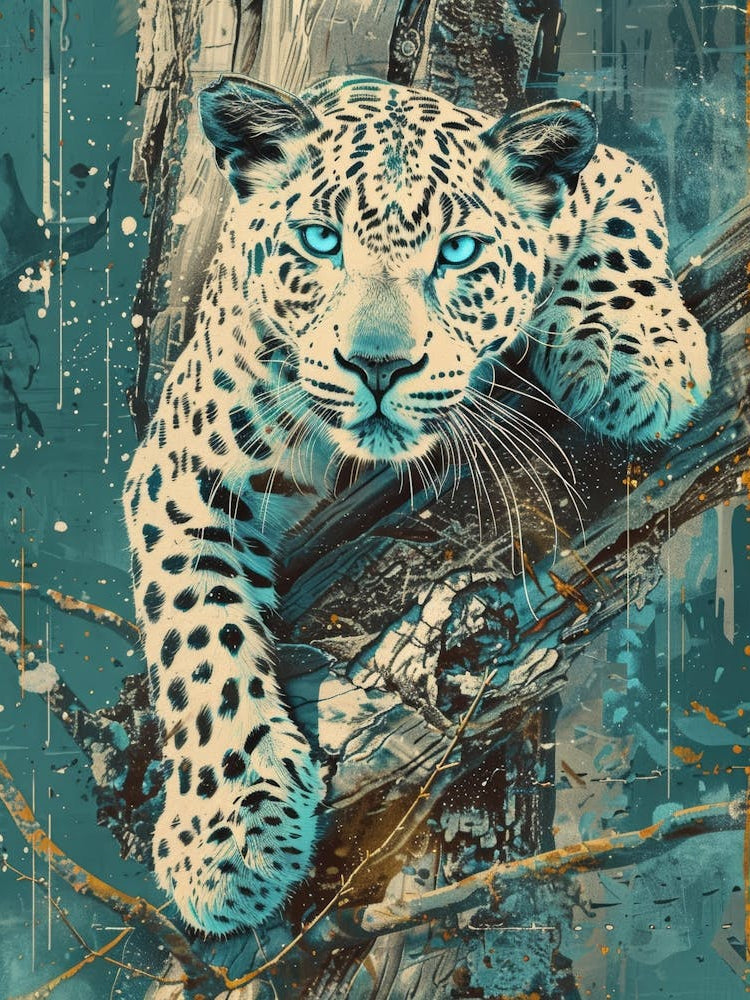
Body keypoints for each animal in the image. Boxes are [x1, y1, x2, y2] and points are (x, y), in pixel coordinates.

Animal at [123, 73, 710, 935]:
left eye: (458, 252)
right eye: (320, 241)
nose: (377, 363)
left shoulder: (606, 174)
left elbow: (621, 233)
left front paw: (637, 354)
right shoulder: (181, 471)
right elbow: (201, 637)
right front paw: (227, 831)